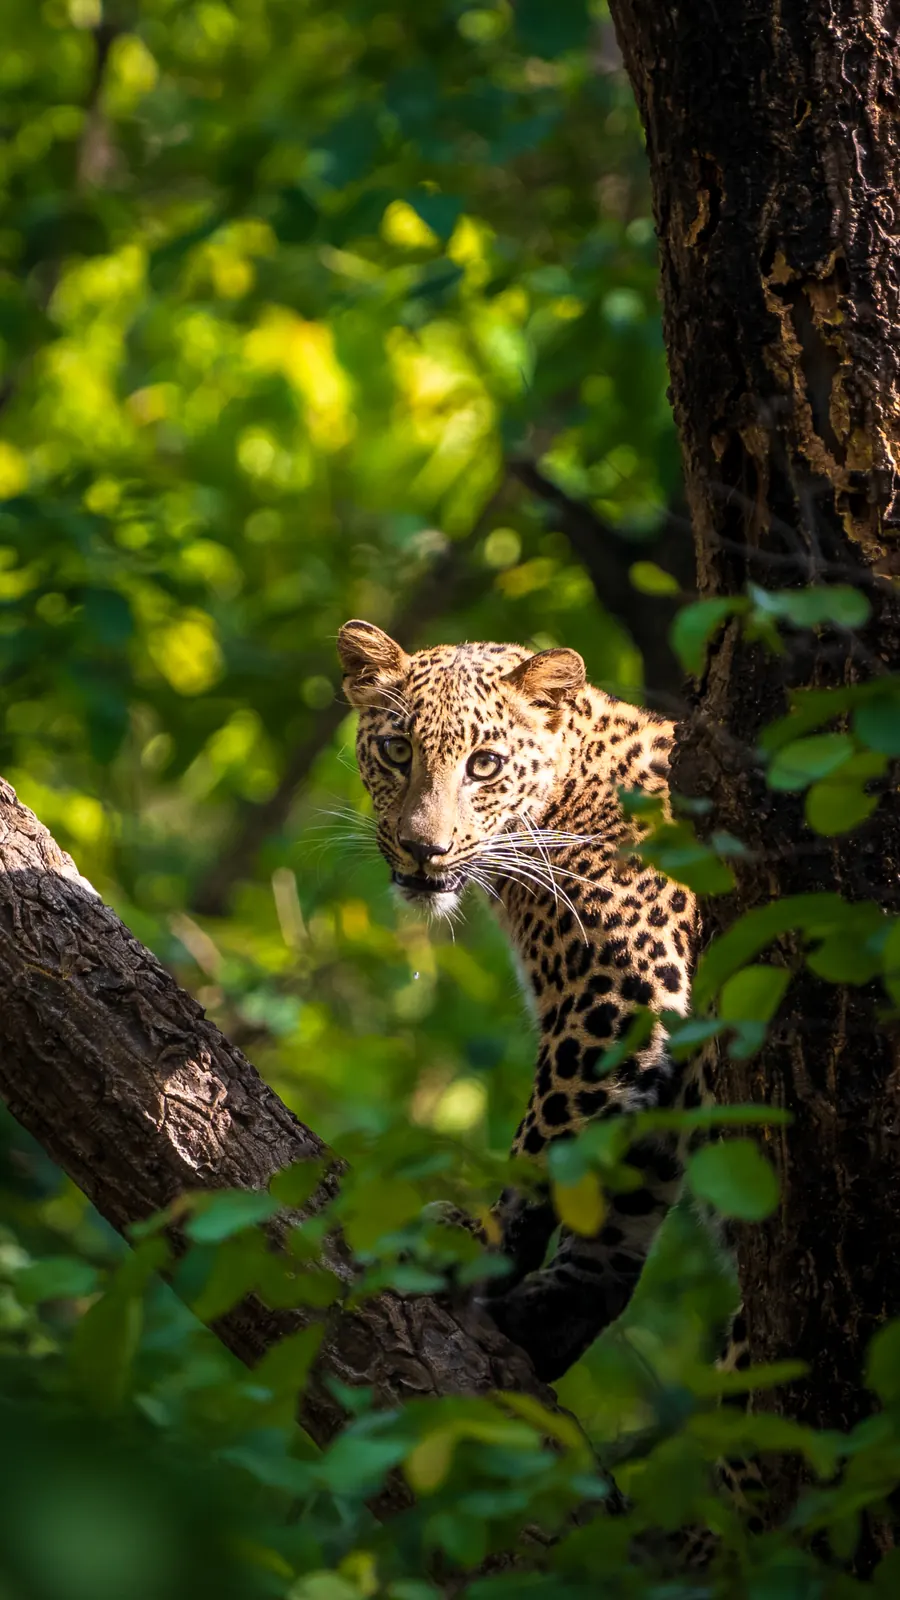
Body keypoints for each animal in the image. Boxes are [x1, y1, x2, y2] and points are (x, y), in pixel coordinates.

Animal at [335, 617, 720, 1388]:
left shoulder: (620, 995)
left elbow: (547, 1150)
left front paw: (470, 1257)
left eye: (484, 765)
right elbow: (625, 1192)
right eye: (397, 750)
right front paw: (543, 1316)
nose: (424, 849)